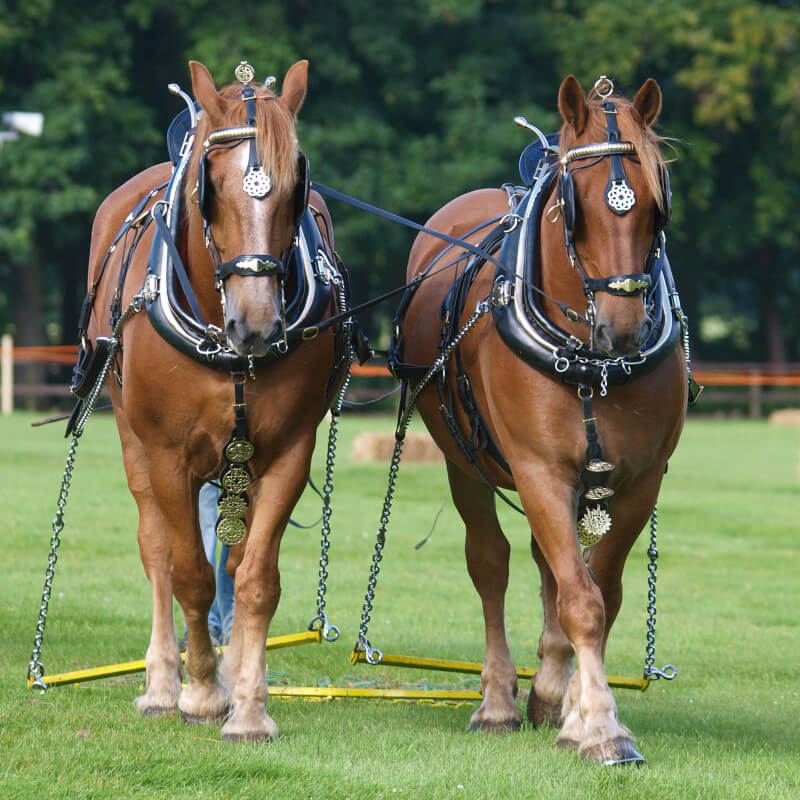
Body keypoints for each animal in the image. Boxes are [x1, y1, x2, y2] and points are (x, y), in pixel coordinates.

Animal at [83, 62, 346, 744]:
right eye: (213, 188)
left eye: (296, 192)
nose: (255, 324)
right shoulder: (167, 455)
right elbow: (189, 576)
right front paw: (199, 692)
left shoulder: (286, 453)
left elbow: (252, 580)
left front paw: (247, 704)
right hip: (134, 441)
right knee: (157, 552)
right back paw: (161, 684)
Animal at [400, 76, 688, 764]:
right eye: (572, 203)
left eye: (657, 206)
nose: (623, 328)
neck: (590, 359)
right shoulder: (538, 470)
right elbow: (580, 598)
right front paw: (603, 729)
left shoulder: (639, 481)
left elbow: (599, 592)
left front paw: (577, 708)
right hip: (465, 463)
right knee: (492, 562)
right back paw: (499, 702)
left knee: (548, 567)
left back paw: (550, 692)